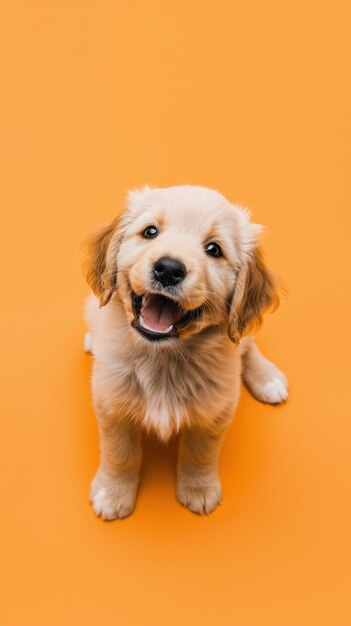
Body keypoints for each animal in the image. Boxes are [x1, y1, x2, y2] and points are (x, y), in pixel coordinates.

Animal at [83, 184, 288, 516]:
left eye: (214, 249)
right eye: (150, 232)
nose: (168, 269)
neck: (163, 356)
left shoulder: (216, 411)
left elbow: (200, 453)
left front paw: (199, 490)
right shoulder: (111, 404)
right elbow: (120, 453)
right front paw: (112, 493)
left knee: (248, 345)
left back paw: (268, 378)